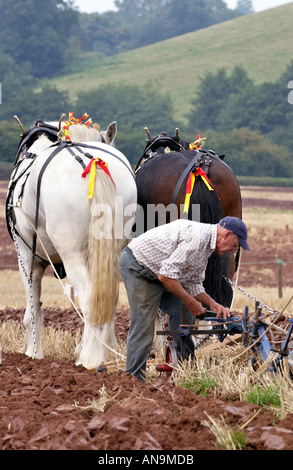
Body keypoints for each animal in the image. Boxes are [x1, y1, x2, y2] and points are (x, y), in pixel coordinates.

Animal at [6, 114, 137, 370]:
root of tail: (93, 161)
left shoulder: (25, 255)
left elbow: (32, 310)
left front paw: (32, 354)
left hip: (71, 254)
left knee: (88, 299)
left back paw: (89, 359)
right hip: (113, 252)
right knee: (107, 299)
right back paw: (101, 352)